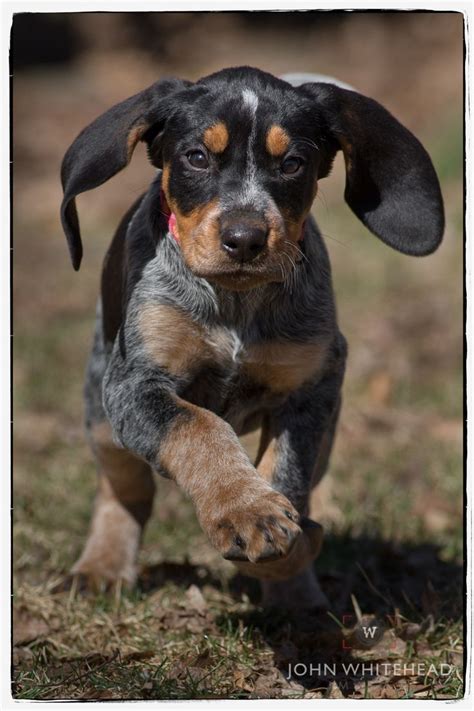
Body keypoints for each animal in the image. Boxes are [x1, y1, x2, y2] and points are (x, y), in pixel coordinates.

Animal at [60, 69, 444, 608]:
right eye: (197, 157)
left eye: (293, 164)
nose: (245, 240)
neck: (235, 305)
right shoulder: (132, 387)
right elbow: (199, 427)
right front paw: (246, 511)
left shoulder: (313, 389)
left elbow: (286, 472)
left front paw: (280, 548)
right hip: (100, 410)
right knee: (124, 487)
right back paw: (103, 565)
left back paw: (298, 603)